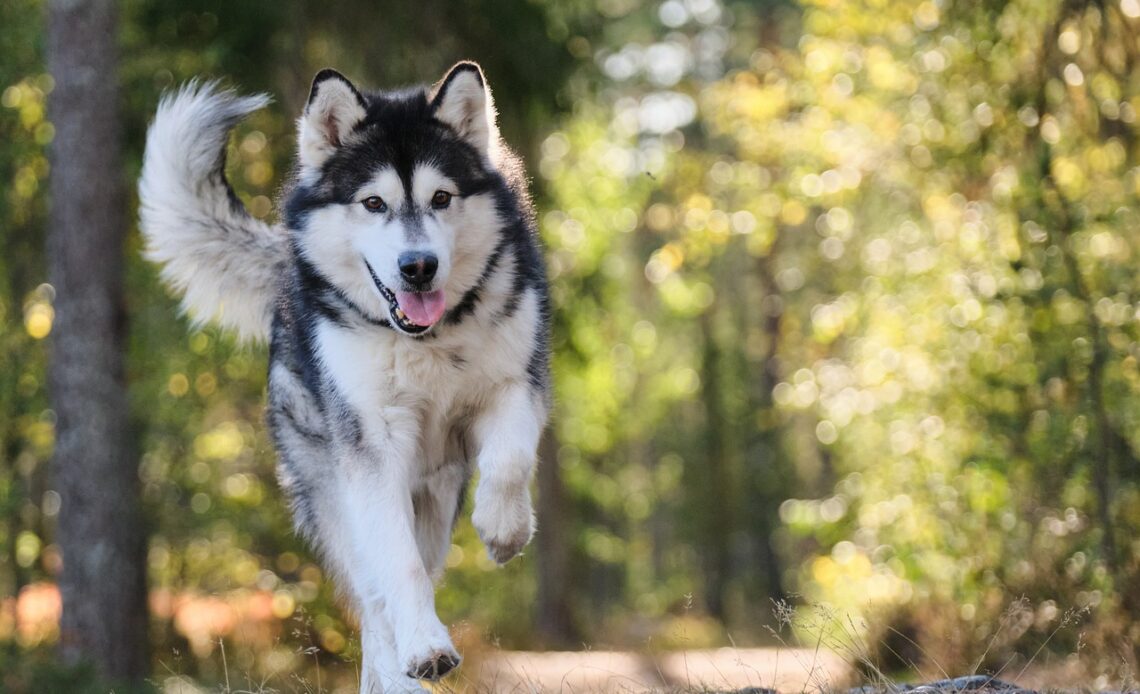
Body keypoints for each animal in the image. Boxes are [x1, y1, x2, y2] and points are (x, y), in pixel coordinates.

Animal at [137, 62, 547, 688]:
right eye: (373, 202)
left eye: (442, 198)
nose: (418, 266)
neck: (427, 342)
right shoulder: (372, 448)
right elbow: (398, 568)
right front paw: (424, 647)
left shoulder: (516, 384)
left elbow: (509, 461)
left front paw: (504, 530)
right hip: (337, 492)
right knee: (377, 603)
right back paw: (402, 670)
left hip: (434, 497)